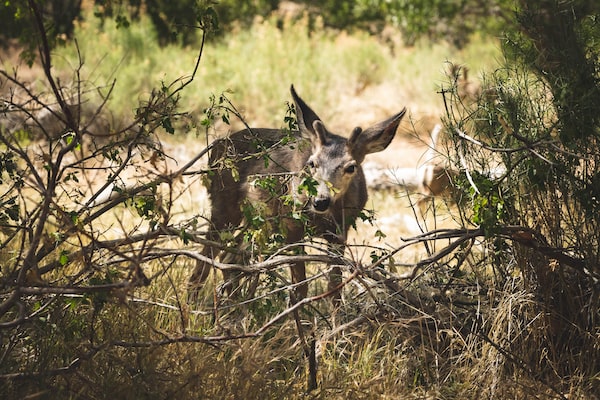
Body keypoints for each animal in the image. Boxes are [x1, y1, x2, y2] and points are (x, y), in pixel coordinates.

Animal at [191, 86, 408, 302]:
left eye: (351, 167)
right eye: (312, 163)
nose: (320, 201)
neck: (325, 217)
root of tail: (217, 147)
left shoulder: (341, 231)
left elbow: (334, 288)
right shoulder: (291, 224)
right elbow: (299, 288)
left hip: (257, 219)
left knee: (230, 257)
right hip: (224, 204)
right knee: (206, 258)